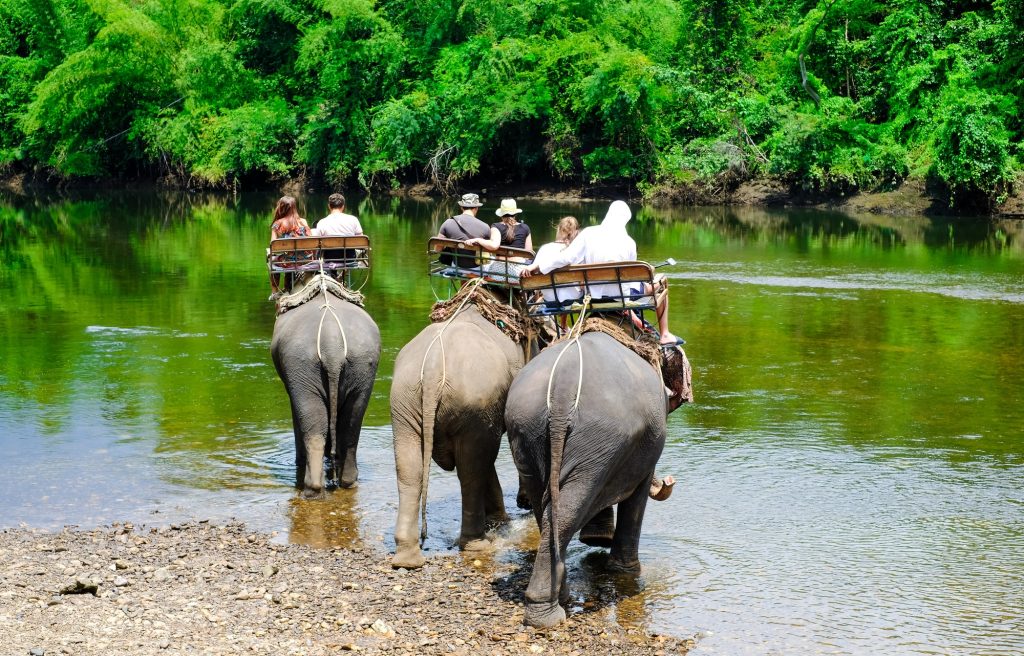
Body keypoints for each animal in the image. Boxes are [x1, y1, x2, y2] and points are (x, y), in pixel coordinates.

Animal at [271, 274, 381, 497]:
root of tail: (332, 346)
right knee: (351, 427)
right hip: (363, 366)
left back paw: (311, 490)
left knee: (313, 429)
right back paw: (347, 482)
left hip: (301, 364)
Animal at [390, 287, 539, 569]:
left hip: (404, 402)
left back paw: (407, 560)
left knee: (410, 470)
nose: (523, 503)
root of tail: (433, 369)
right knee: (472, 471)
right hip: (472, 403)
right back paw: (477, 545)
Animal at [504, 330, 691, 628]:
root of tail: (562, 388)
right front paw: (626, 571)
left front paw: (598, 540)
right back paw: (549, 615)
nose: (669, 481)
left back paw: (555, 601)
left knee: (548, 508)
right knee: (569, 506)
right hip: (601, 437)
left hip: (527, 432)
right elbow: (636, 499)